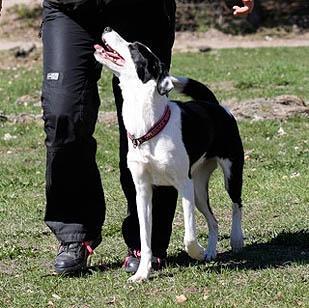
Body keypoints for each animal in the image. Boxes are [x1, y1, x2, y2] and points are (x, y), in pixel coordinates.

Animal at [94, 27, 243, 282]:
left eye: (135, 47)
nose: (106, 28)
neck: (150, 126)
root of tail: (214, 105)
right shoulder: (143, 190)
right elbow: (145, 239)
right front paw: (142, 273)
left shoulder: (183, 184)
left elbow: (189, 236)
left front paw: (196, 252)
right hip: (199, 188)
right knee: (213, 221)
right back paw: (211, 252)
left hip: (229, 174)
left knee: (236, 205)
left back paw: (235, 239)